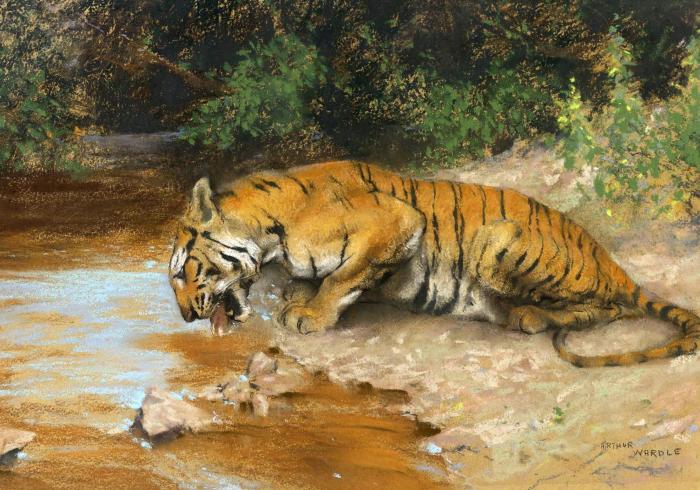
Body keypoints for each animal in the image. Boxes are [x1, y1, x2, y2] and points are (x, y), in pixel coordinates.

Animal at [168, 160, 699, 367]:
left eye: (181, 271)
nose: (188, 316)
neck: (269, 233)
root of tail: (607, 257)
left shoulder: (398, 221)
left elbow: (342, 277)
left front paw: (308, 314)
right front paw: (296, 297)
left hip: (495, 243)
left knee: (610, 308)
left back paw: (528, 315)